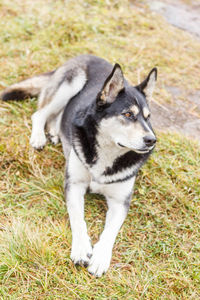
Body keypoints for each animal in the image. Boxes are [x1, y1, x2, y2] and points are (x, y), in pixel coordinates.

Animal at [1, 54, 158, 276]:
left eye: (148, 117)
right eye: (128, 114)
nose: (152, 140)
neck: (107, 153)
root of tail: (85, 55)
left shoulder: (120, 202)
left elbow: (110, 231)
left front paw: (100, 258)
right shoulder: (74, 185)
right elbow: (78, 219)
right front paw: (82, 248)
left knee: (58, 116)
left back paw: (55, 132)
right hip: (71, 84)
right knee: (40, 114)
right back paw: (39, 136)